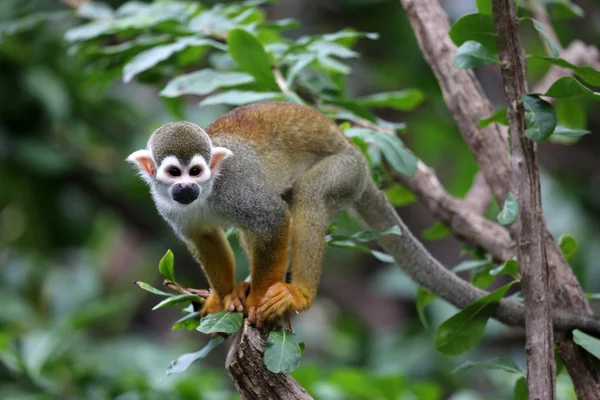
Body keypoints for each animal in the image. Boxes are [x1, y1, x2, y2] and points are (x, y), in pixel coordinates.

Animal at [129, 101, 378, 326]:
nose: (187, 187)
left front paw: (257, 301)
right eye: (174, 172)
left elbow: (273, 219)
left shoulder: (235, 187)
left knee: (310, 193)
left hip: (348, 171)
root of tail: (354, 149)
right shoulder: (167, 207)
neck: (206, 193)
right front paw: (223, 298)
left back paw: (300, 295)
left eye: (195, 172)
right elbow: (205, 238)